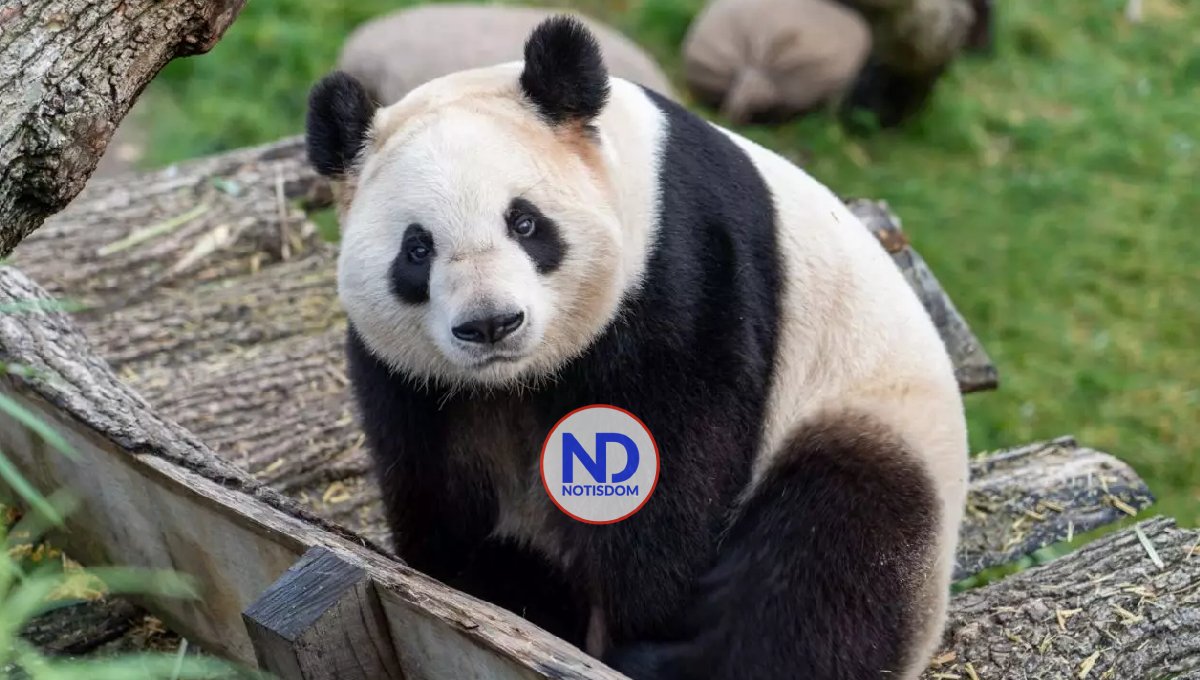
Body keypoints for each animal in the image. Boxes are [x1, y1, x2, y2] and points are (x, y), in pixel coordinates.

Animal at [306, 16, 968, 680]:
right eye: (417, 249)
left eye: (525, 223)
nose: (491, 323)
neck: (517, 378)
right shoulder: (411, 376)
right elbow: (432, 474)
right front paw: (481, 583)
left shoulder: (682, 268)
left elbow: (672, 459)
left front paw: (637, 615)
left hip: (870, 417)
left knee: (831, 551)